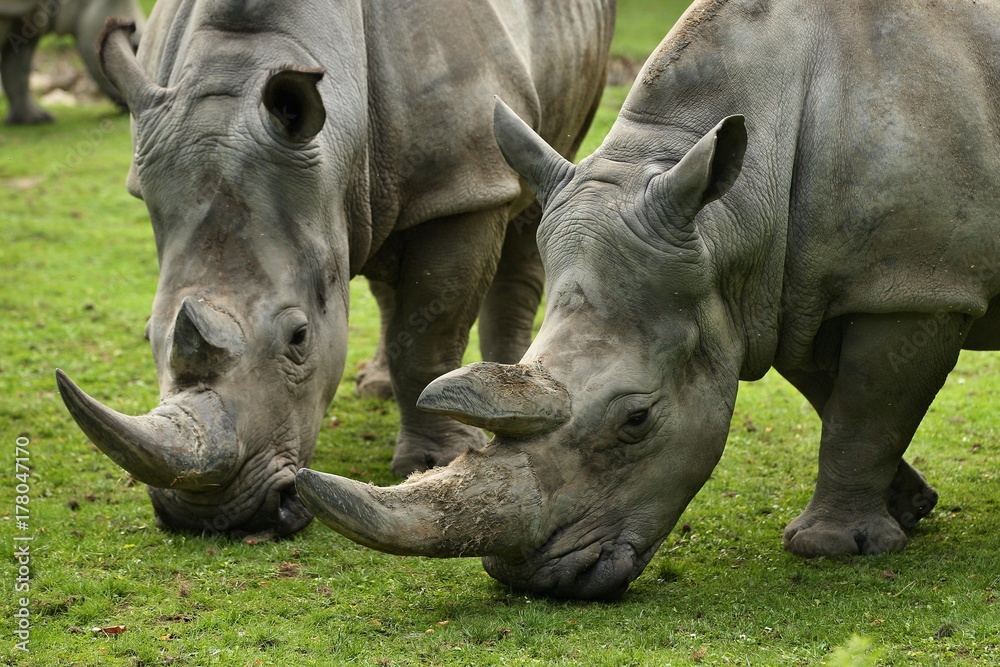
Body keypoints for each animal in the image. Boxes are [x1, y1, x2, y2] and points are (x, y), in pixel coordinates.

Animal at [55, 0, 614, 537]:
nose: (211, 519)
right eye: (149, 333)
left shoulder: (462, 186)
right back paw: (379, 385)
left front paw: (437, 459)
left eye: (299, 337)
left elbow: (431, 336)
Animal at [295, 0, 1000, 600]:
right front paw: (907, 508)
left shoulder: (918, 283)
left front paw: (831, 546)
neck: (729, 220)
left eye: (636, 420)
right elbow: (839, 398)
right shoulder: (785, 288)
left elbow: (867, 407)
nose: (535, 582)